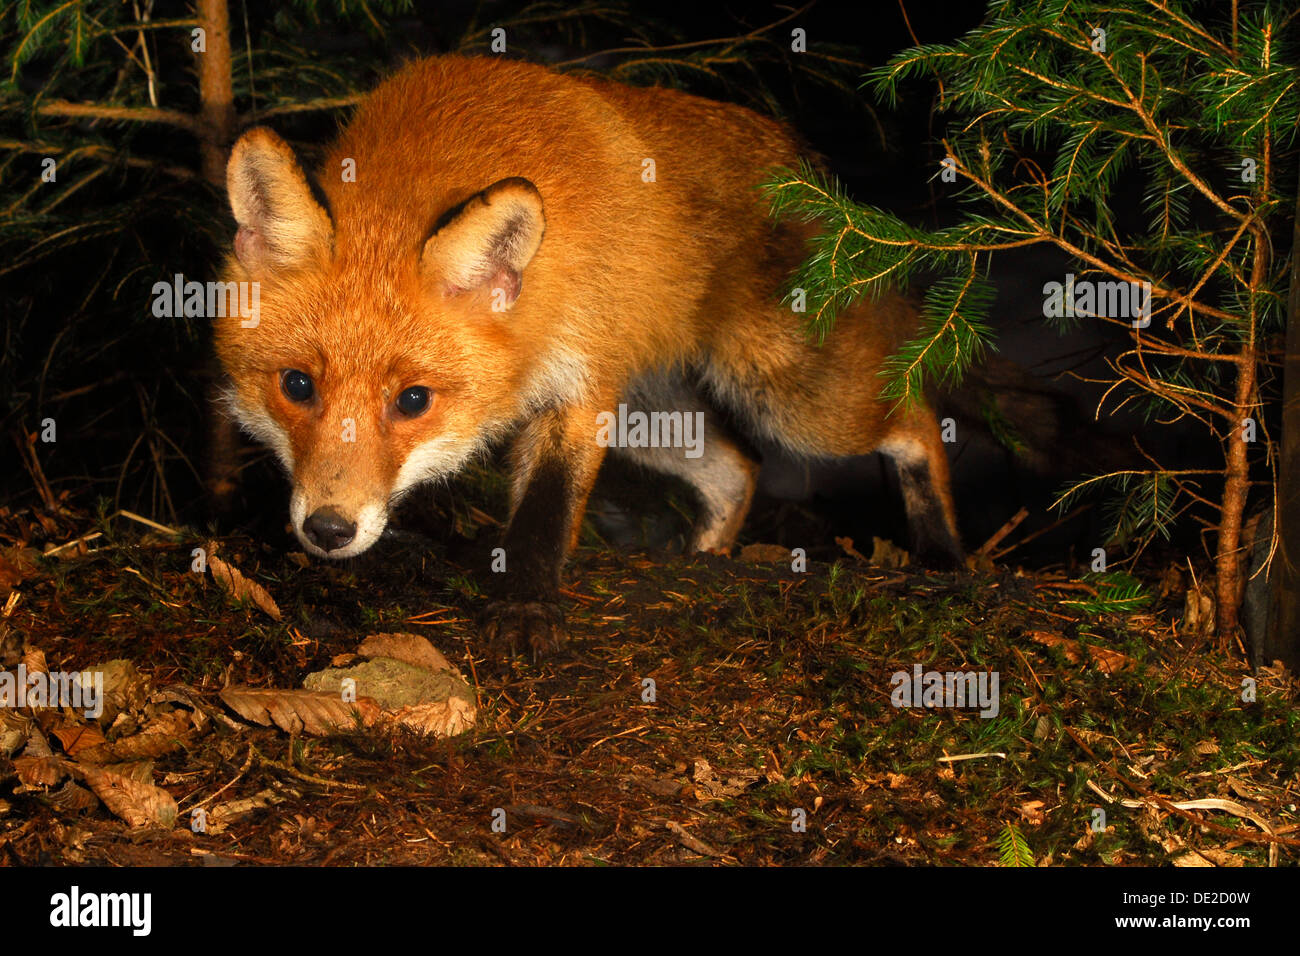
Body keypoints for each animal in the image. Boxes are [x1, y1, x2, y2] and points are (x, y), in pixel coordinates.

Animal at [215, 55, 963, 657]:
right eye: (297, 385)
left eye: (413, 401)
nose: (328, 530)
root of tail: (804, 168)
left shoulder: (581, 384)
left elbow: (547, 511)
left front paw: (526, 607)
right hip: (652, 418)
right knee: (738, 472)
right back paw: (705, 561)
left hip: (786, 392)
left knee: (916, 414)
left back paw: (946, 555)